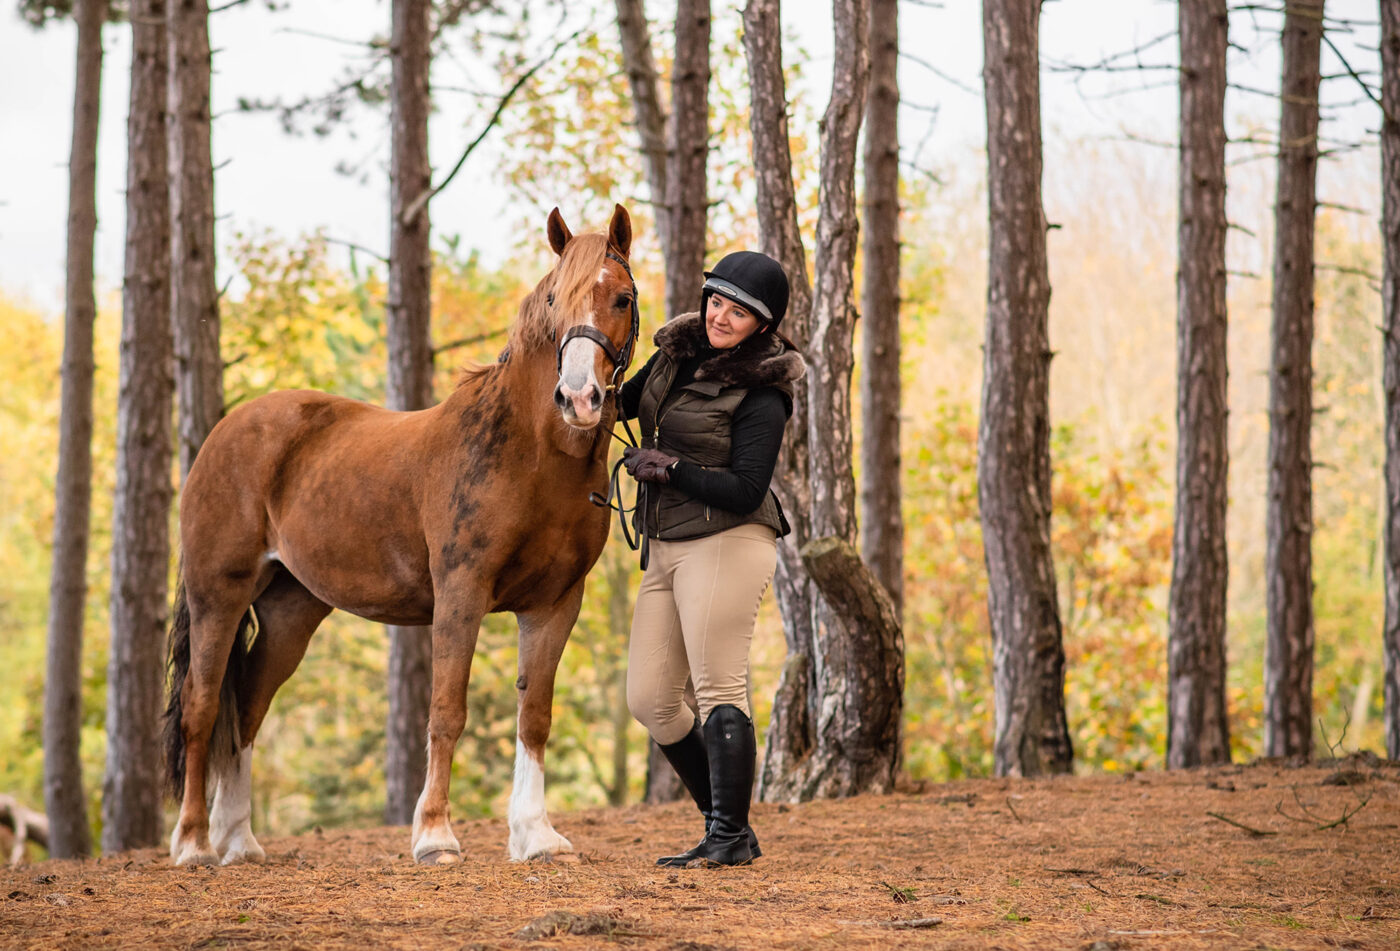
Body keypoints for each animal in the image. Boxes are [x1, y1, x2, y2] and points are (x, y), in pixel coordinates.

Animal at [163, 204, 641, 868]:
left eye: (621, 298)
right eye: (555, 301)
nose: (578, 398)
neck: (531, 456)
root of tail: (222, 434)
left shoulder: (555, 604)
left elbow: (535, 715)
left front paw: (535, 835)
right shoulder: (461, 594)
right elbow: (446, 710)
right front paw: (435, 834)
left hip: (290, 610)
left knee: (250, 706)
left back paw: (239, 839)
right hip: (219, 595)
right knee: (202, 706)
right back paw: (193, 844)